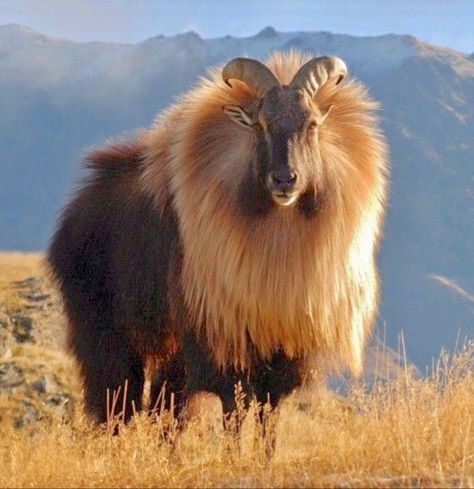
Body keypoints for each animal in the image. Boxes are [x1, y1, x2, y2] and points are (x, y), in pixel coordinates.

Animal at [48, 50, 388, 424]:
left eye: (311, 123)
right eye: (260, 124)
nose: (285, 180)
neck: (278, 245)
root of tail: (75, 210)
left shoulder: (279, 355)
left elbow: (267, 415)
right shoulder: (222, 347)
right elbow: (234, 412)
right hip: (107, 336)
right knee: (117, 405)